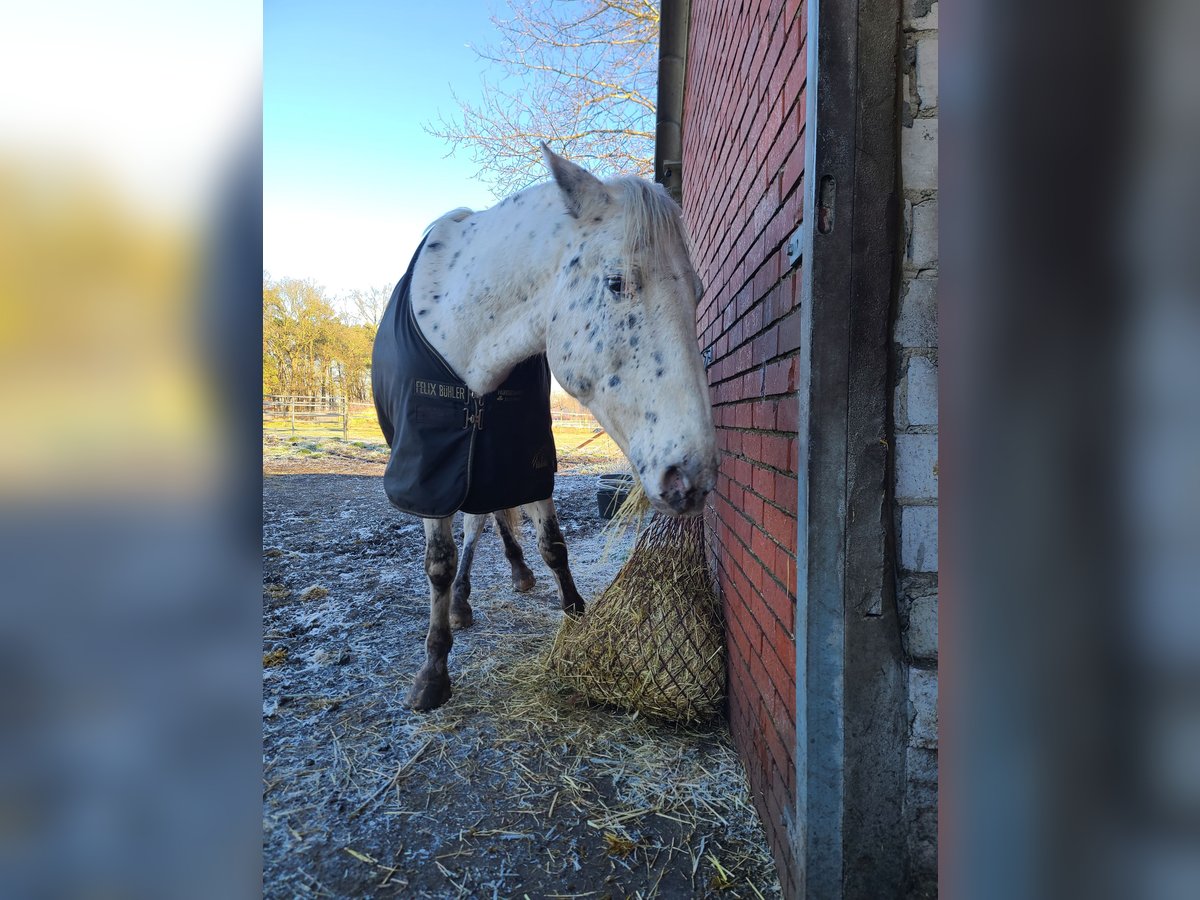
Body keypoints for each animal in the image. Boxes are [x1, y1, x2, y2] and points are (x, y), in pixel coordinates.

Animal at [372, 146, 710, 710]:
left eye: (698, 291)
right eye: (617, 282)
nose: (691, 478)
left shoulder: (526, 457)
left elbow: (552, 542)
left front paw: (577, 613)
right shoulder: (428, 472)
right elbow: (439, 563)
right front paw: (433, 672)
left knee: (485, 520)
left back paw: (506, 577)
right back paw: (461, 603)